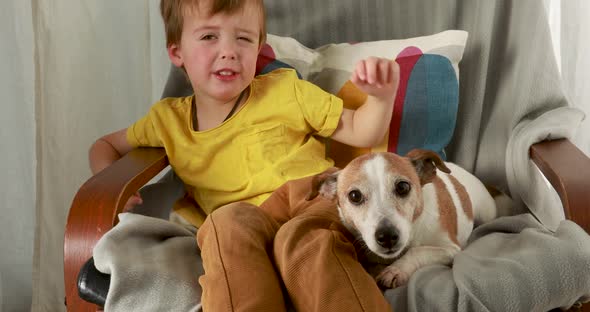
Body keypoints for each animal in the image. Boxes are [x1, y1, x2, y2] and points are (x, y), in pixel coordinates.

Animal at [310, 150, 512, 288]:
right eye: (354, 196)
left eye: (402, 187)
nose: (387, 236)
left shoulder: (451, 249)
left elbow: (417, 251)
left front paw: (397, 269)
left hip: (486, 213)